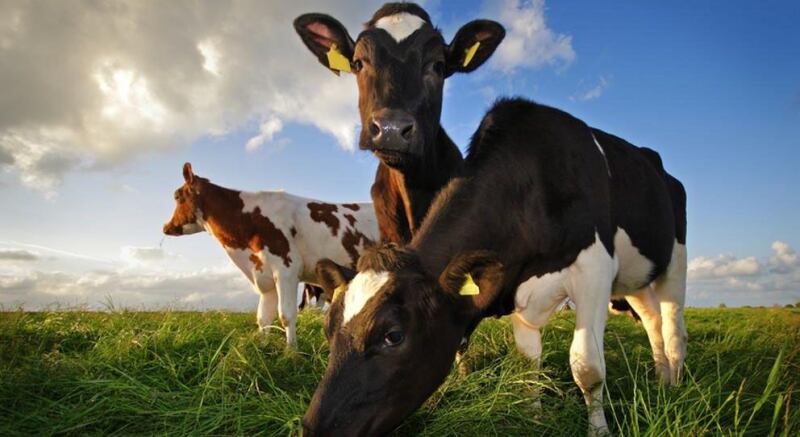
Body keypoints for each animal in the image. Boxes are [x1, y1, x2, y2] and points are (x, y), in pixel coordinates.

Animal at [162, 162, 378, 346]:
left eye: (177, 196)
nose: (166, 227)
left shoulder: (286, 270)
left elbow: (286, 315)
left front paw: (291, 352)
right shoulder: (264, 275)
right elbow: (263, 318)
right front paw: (262, 349)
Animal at [310, 97, 688, 434]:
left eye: (394, 335)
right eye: (328, 327)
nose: (314, 428)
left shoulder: (595, 267)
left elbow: (587, 366)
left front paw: (599, 431)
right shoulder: (518, 288)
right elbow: (528, 362)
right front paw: (535, 419)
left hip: (675, 259)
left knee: (672, 325)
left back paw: (675, 384)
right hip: (636, 278)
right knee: (652, 320)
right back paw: (660, 378)